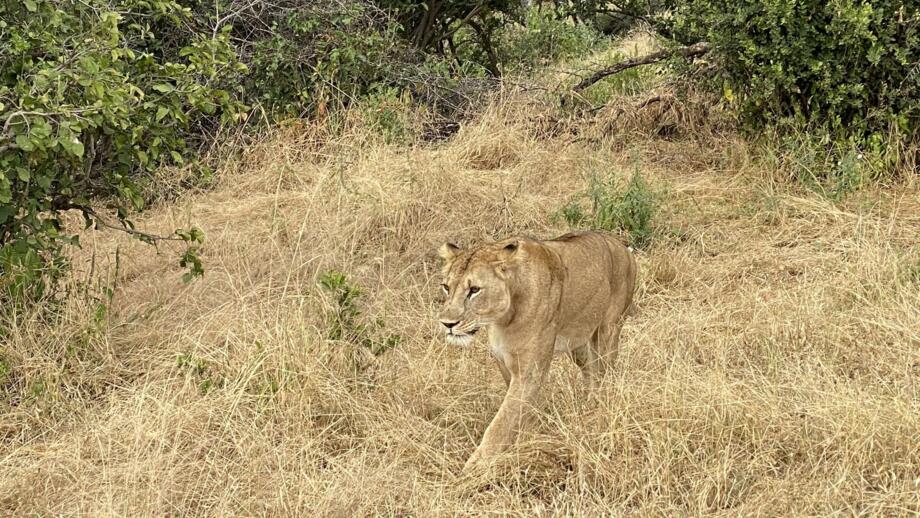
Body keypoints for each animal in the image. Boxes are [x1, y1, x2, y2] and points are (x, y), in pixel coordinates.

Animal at [436, 231, 637, 471]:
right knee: (591, 374)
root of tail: (622, 246)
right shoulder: (505, 364)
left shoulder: (529, 372)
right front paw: (527, 438)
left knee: (606, 375)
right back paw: (588, 407)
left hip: (608, 332)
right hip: (578, 345)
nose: (447, 323)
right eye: (446, 287)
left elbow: (500, 422)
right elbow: (520, 412)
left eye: (474, 290)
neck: (503, 319)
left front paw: (474, 468)